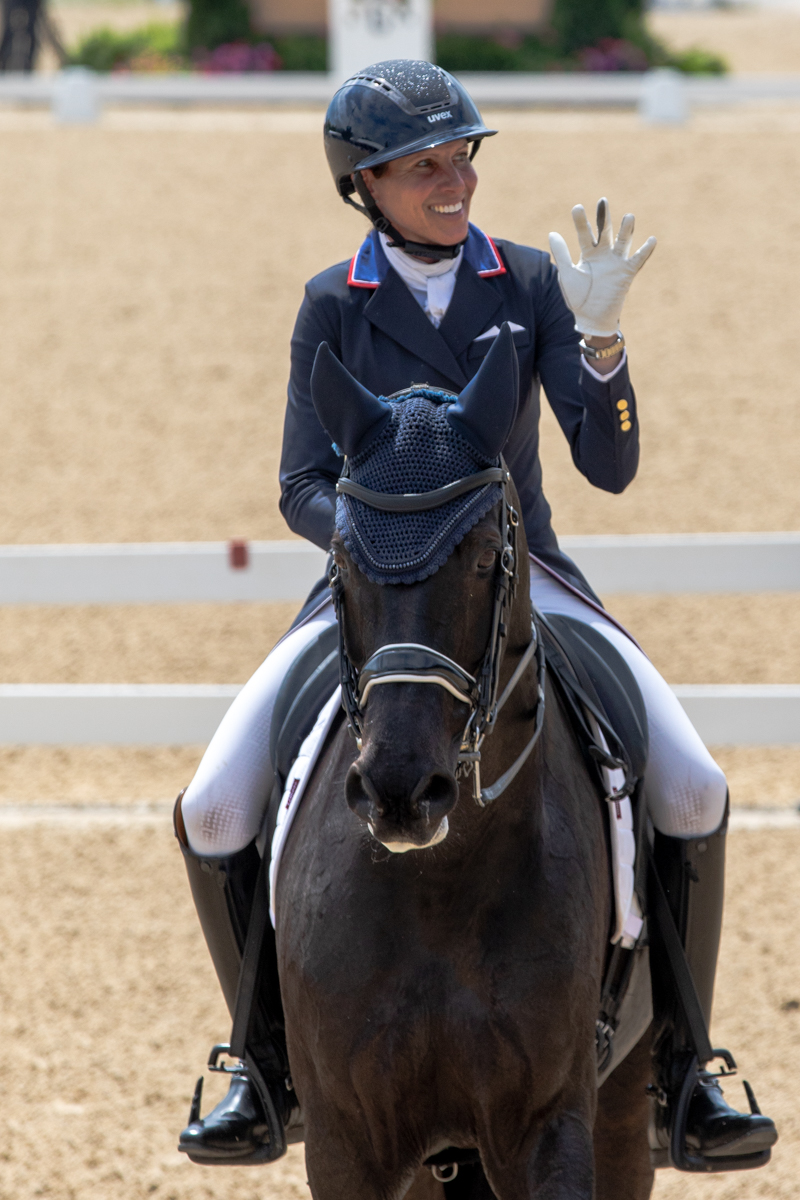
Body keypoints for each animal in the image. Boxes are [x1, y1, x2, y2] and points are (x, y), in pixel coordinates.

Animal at [275, 328, 657, 1200]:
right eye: (342, 560)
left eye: (485, 559)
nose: (400, 792)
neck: (437, 885)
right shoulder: (346, 1141)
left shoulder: (548, 1121)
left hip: (626, 1099)